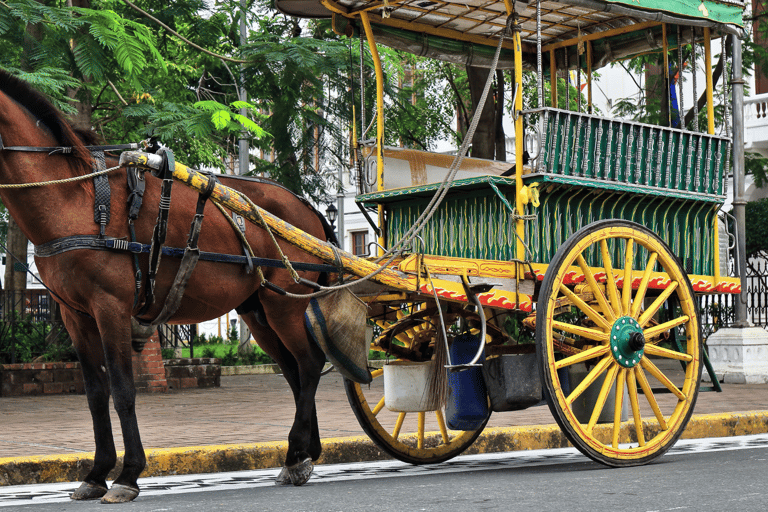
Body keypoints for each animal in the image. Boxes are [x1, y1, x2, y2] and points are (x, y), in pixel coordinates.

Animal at [0, 69, 336, 504]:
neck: (74, 196)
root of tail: (307, 208)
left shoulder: (110, 307)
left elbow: (123, 389)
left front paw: (128, 475)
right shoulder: (75, 315)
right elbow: (95, 394)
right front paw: (96, 473)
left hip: (285, 306)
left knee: (309, 363)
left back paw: (297, 450)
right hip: (258, 310)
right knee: (294, 370)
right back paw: (300, 454)